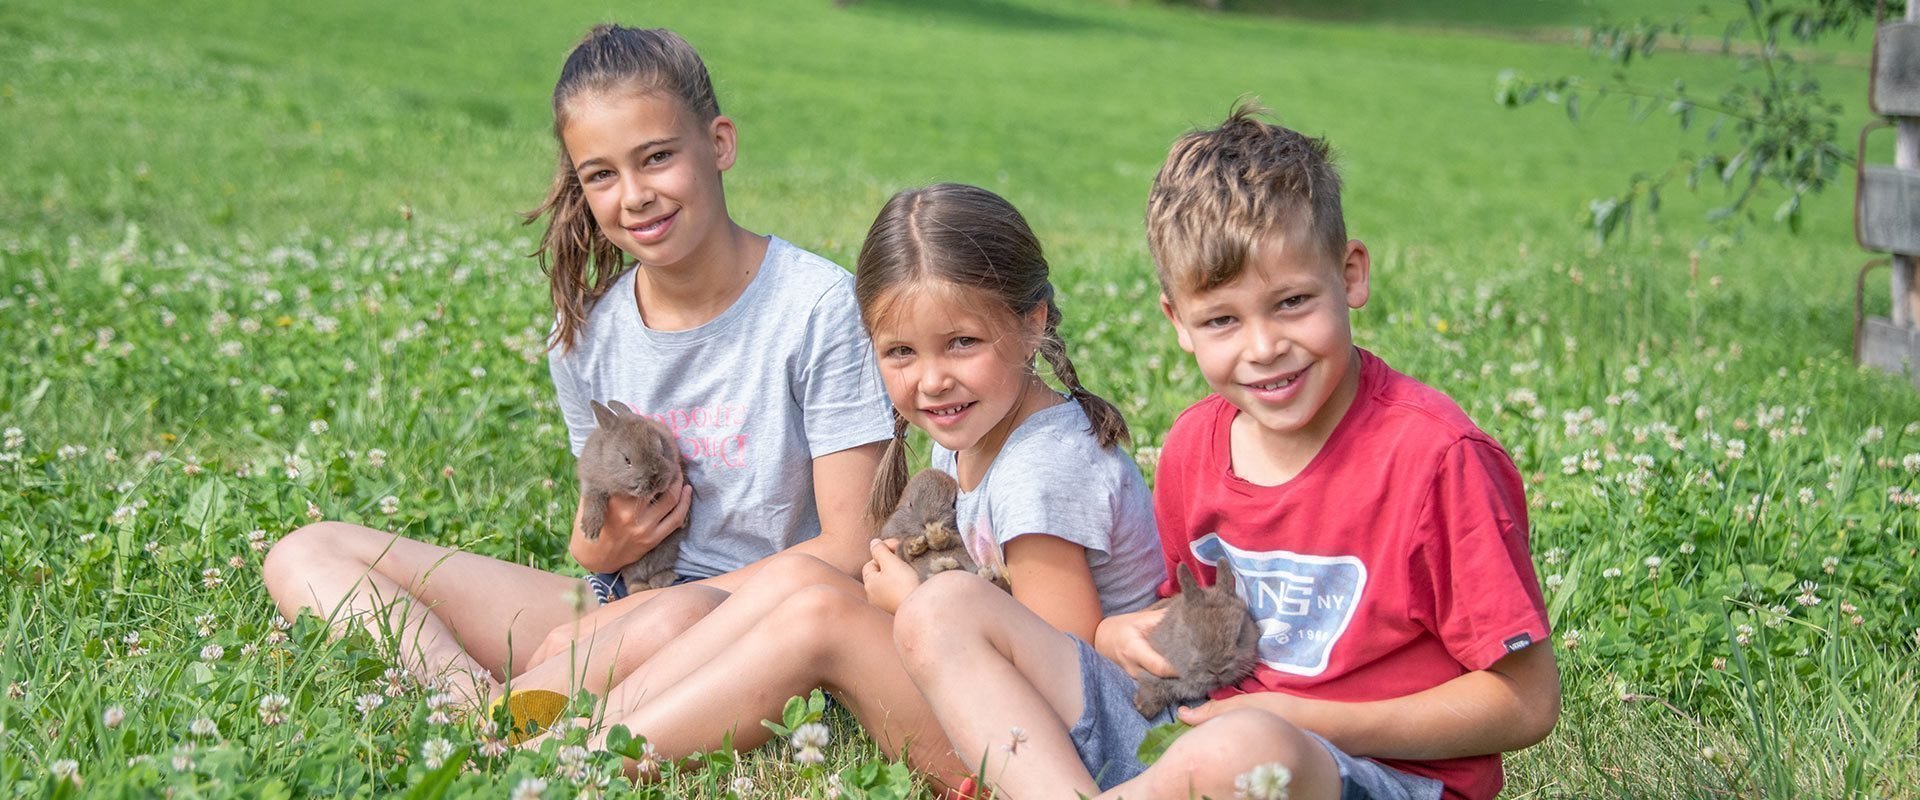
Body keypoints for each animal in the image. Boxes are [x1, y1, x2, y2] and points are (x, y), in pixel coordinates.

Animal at [579, 397, 695, 590]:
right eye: (627, 460)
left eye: (662, 449)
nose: (656, 480)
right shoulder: (591, 482)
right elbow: (593, 501)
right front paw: (590, 532)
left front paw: (685, 517)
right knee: (633, 580)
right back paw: (641, 587)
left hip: (667, 550)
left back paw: (661, 581)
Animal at [879, 470, 1013, 590]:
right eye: (910, 504)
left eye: (953, 503)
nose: (930, 522)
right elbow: (904, 549)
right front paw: (917, 544)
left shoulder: (960, 541)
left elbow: (952, 540)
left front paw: (936, 536)